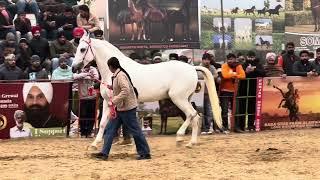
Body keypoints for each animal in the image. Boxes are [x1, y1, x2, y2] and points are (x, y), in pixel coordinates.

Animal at [72, 33, 222, 148]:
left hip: (178, 98)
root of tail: (192, 68)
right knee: (195, 117)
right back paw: (191, 143)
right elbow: (103, 123)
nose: (74, 68)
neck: (115, 71)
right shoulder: (108, 101)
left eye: (82, 49)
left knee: (191, 115)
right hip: (186, 99)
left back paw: (180, 137)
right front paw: (95, 144)